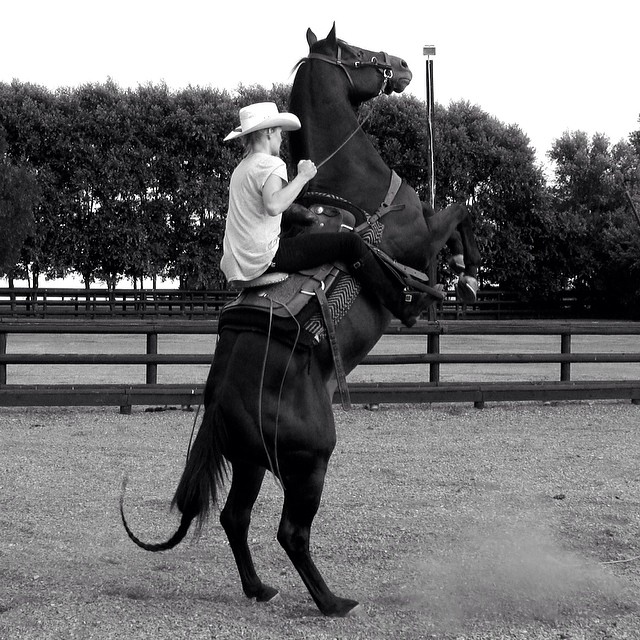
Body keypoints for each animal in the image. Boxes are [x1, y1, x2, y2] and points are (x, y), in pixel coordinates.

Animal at [120, 22, 480, 616]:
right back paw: (332, 602)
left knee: (234, 516)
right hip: (309, 460)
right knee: (291, 531)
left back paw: (259, 588)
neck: (351, 184)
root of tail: (222, 400)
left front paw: (460, 271)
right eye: (355, 50)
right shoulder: (413, 237)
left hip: (249, 462)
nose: (404, 65)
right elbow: (459, 210)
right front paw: (463, 275)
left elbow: (452, 212)